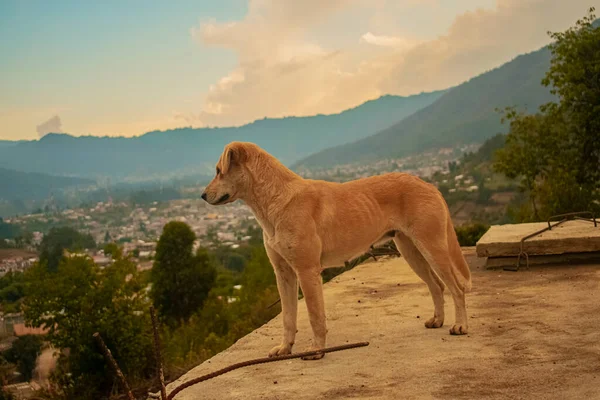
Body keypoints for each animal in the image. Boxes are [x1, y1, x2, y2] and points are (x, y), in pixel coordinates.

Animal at [203, 141, 474, 360]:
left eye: (218, 171)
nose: (203, 195)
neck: (275, 200)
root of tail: (427, 184)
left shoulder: (307, 271)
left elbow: (314, 316)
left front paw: (316, 350)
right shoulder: (283, 274)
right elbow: (288, 317)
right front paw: (285, 348)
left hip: (433, 247)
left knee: (456, 288)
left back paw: (460, 326)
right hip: (411, 250)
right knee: (436, 286)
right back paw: (438, 320)